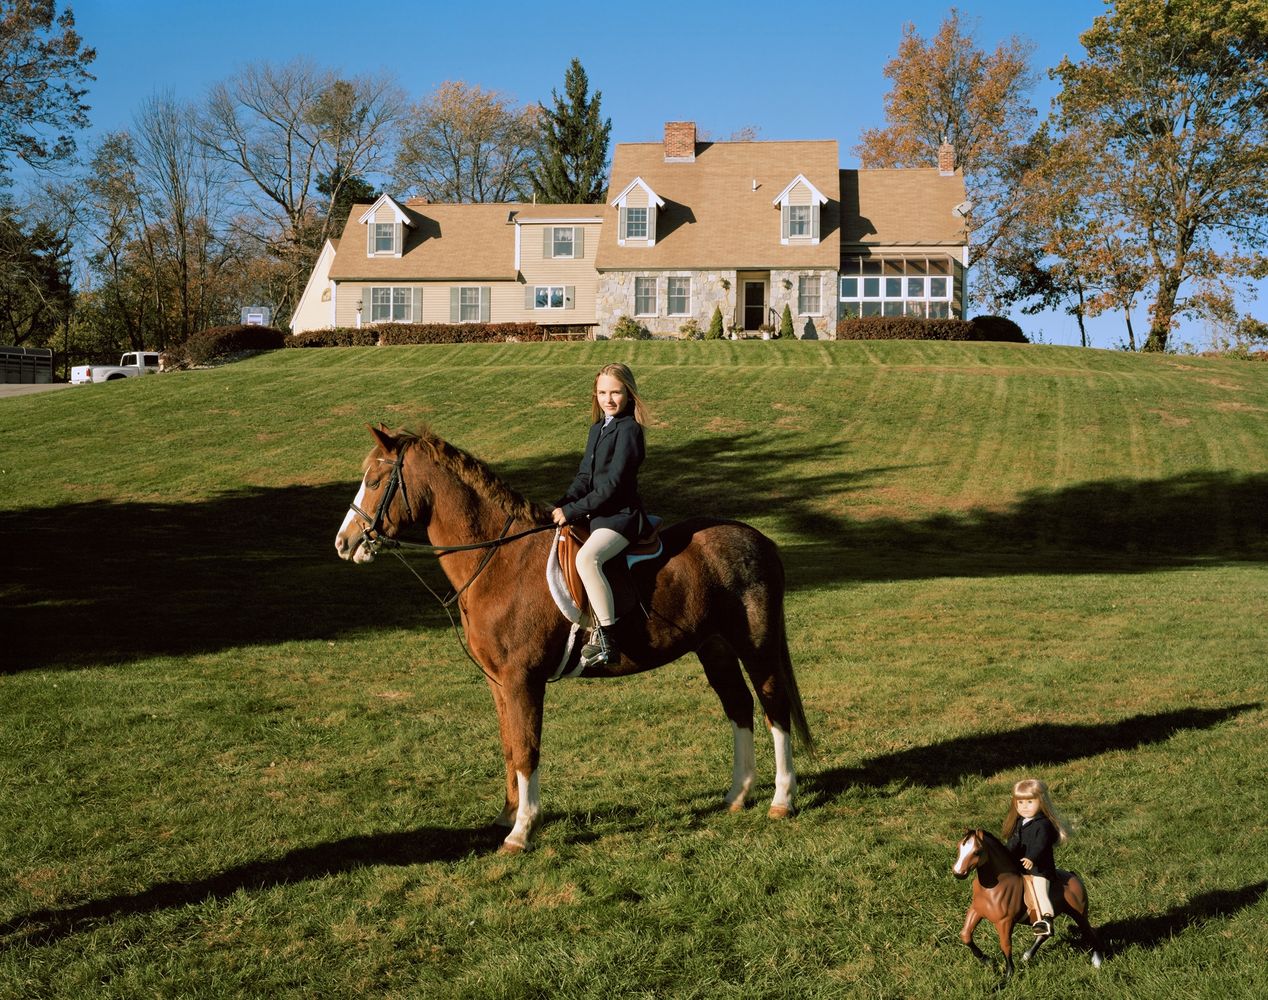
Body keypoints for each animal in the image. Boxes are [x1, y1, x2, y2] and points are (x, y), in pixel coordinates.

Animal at [332, 425, 816, 856]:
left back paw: (782, 800)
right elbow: (510, 745)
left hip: (756, 646)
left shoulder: (522, 680)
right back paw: (737, 795)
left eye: (374, 481)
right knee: (739, 706)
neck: (498, 560)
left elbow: (527, 749)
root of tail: (759, 538)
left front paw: (521, 832)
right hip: (714, 648)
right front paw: (508, 816)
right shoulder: (498, 682)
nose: (344, 543)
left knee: (773, 707)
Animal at [953, 826, 1100, 973]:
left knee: (1091, 933)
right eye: (959, 846)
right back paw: (1026, 957)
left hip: (1079, 914)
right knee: (1045, 933)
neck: (992, 887)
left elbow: (1005, 944)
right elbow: (965, 935)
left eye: (977, 851)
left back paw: (1097, 962)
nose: (958, 873)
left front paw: (1009, 973)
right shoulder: (976, 911)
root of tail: (1074, 876)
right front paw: (987, 960)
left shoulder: (1005, 922)